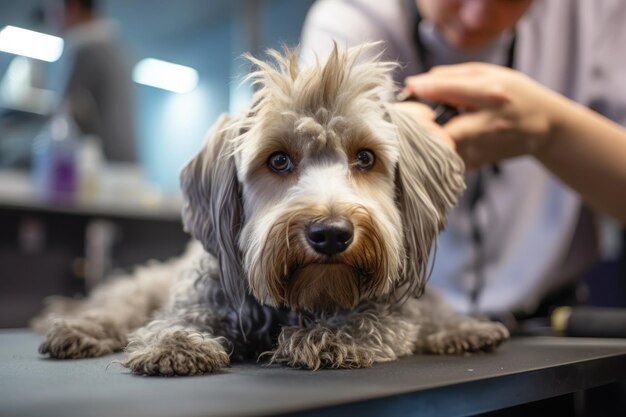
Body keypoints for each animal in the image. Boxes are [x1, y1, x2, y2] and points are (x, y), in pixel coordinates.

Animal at [34, 44, 508, 374]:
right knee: (117, 308)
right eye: (278, 161)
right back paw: (78, 327)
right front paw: (177, 344)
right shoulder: (201, 295)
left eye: (365, 158)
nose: (331, 233)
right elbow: (173, 319)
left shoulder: (390, 310)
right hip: (140, 288)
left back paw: (465, 330)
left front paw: (328, 338)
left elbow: (376, 322)